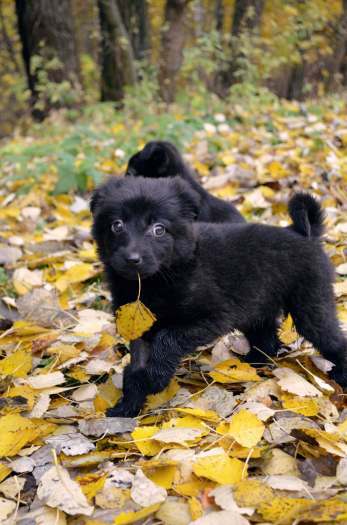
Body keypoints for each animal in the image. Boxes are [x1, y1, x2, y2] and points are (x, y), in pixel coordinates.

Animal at [91, 178, 346, 416]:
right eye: (116, 225)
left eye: (159, 229)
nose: (132, 259)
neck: (158, 279)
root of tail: (303, 233)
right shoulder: (139, 323)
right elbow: (137, 363)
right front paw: (127, 406)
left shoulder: (212, 317)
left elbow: (167, 338)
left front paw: (155, 378)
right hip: (257, 307)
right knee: (267, 341)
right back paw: (249, 365)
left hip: (311, 306)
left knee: (332, 339)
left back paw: (340, 375)